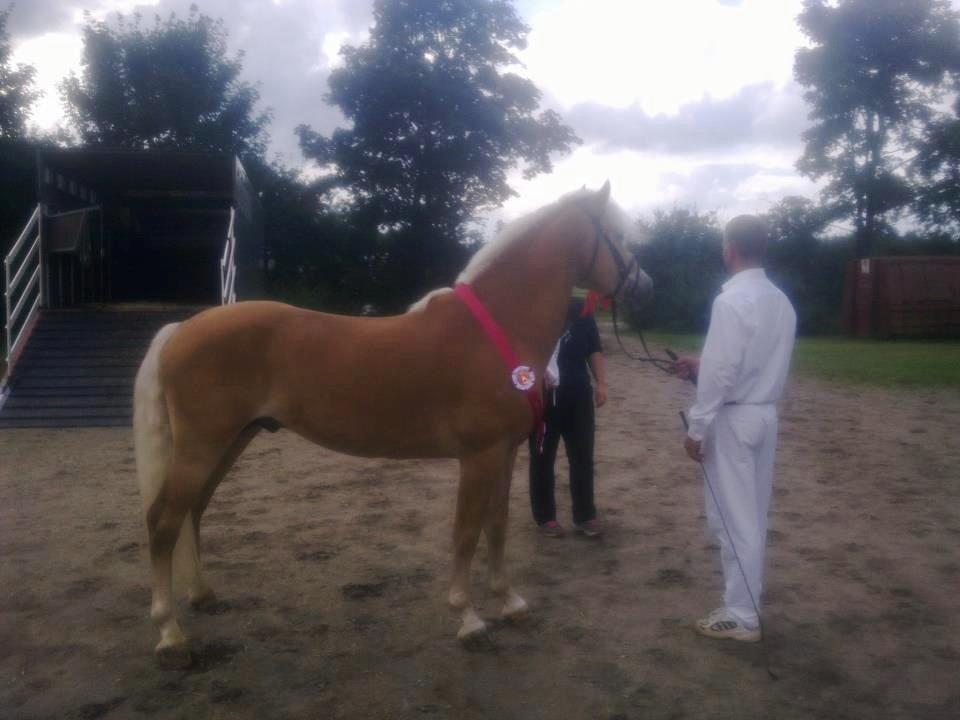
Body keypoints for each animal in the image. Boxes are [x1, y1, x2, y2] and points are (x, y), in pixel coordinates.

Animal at [133, 180, 652, 664]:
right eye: (619, 237)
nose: (644, 285)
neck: (496, 328)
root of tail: (183, 328)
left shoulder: (505, 453)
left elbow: (497, 524)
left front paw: (510, 602)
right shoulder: (478, 456)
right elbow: (466, 531)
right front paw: (468, 618)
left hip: (230, 441)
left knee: (193, 511)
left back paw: (201, 594)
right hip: (202, 446)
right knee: (163, 521)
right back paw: (170, 635)